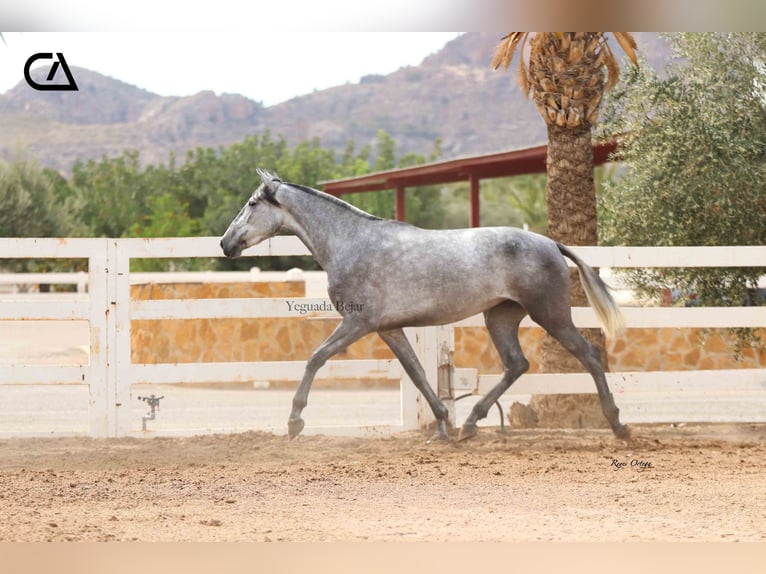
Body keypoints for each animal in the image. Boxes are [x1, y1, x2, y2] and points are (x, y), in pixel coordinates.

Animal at [222, 169, 632, 444]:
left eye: (252, 204)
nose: (226, 243)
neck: (351, 243)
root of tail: (551, 244)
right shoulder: (389, 329)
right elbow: (417, 373)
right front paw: (443, 427)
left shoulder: (358, 322)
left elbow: (315, 358)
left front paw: (294, 423)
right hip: (500, 316)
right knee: (517, 364)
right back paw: (470, 424)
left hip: (550, 314)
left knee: (590, 355)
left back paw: (618, 425)